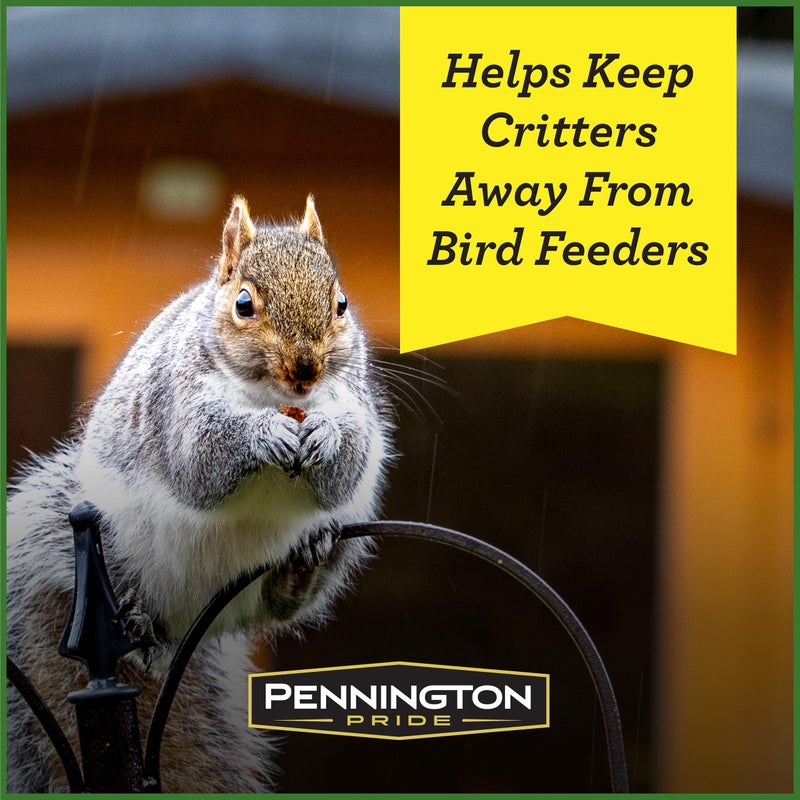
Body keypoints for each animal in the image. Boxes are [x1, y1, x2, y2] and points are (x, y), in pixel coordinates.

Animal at [6, 196, 394, 792]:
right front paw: (263, 434)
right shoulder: (178, 406)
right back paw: (136, 617)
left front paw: (326, 437)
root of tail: (193, 610)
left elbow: (346, 461)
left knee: (279, 604)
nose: (305, 370)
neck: (272, 396)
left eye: (341, 304)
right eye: (244, 304)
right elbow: (202, 459)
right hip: (117, 542)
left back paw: (301, 567)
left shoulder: (353, 403)